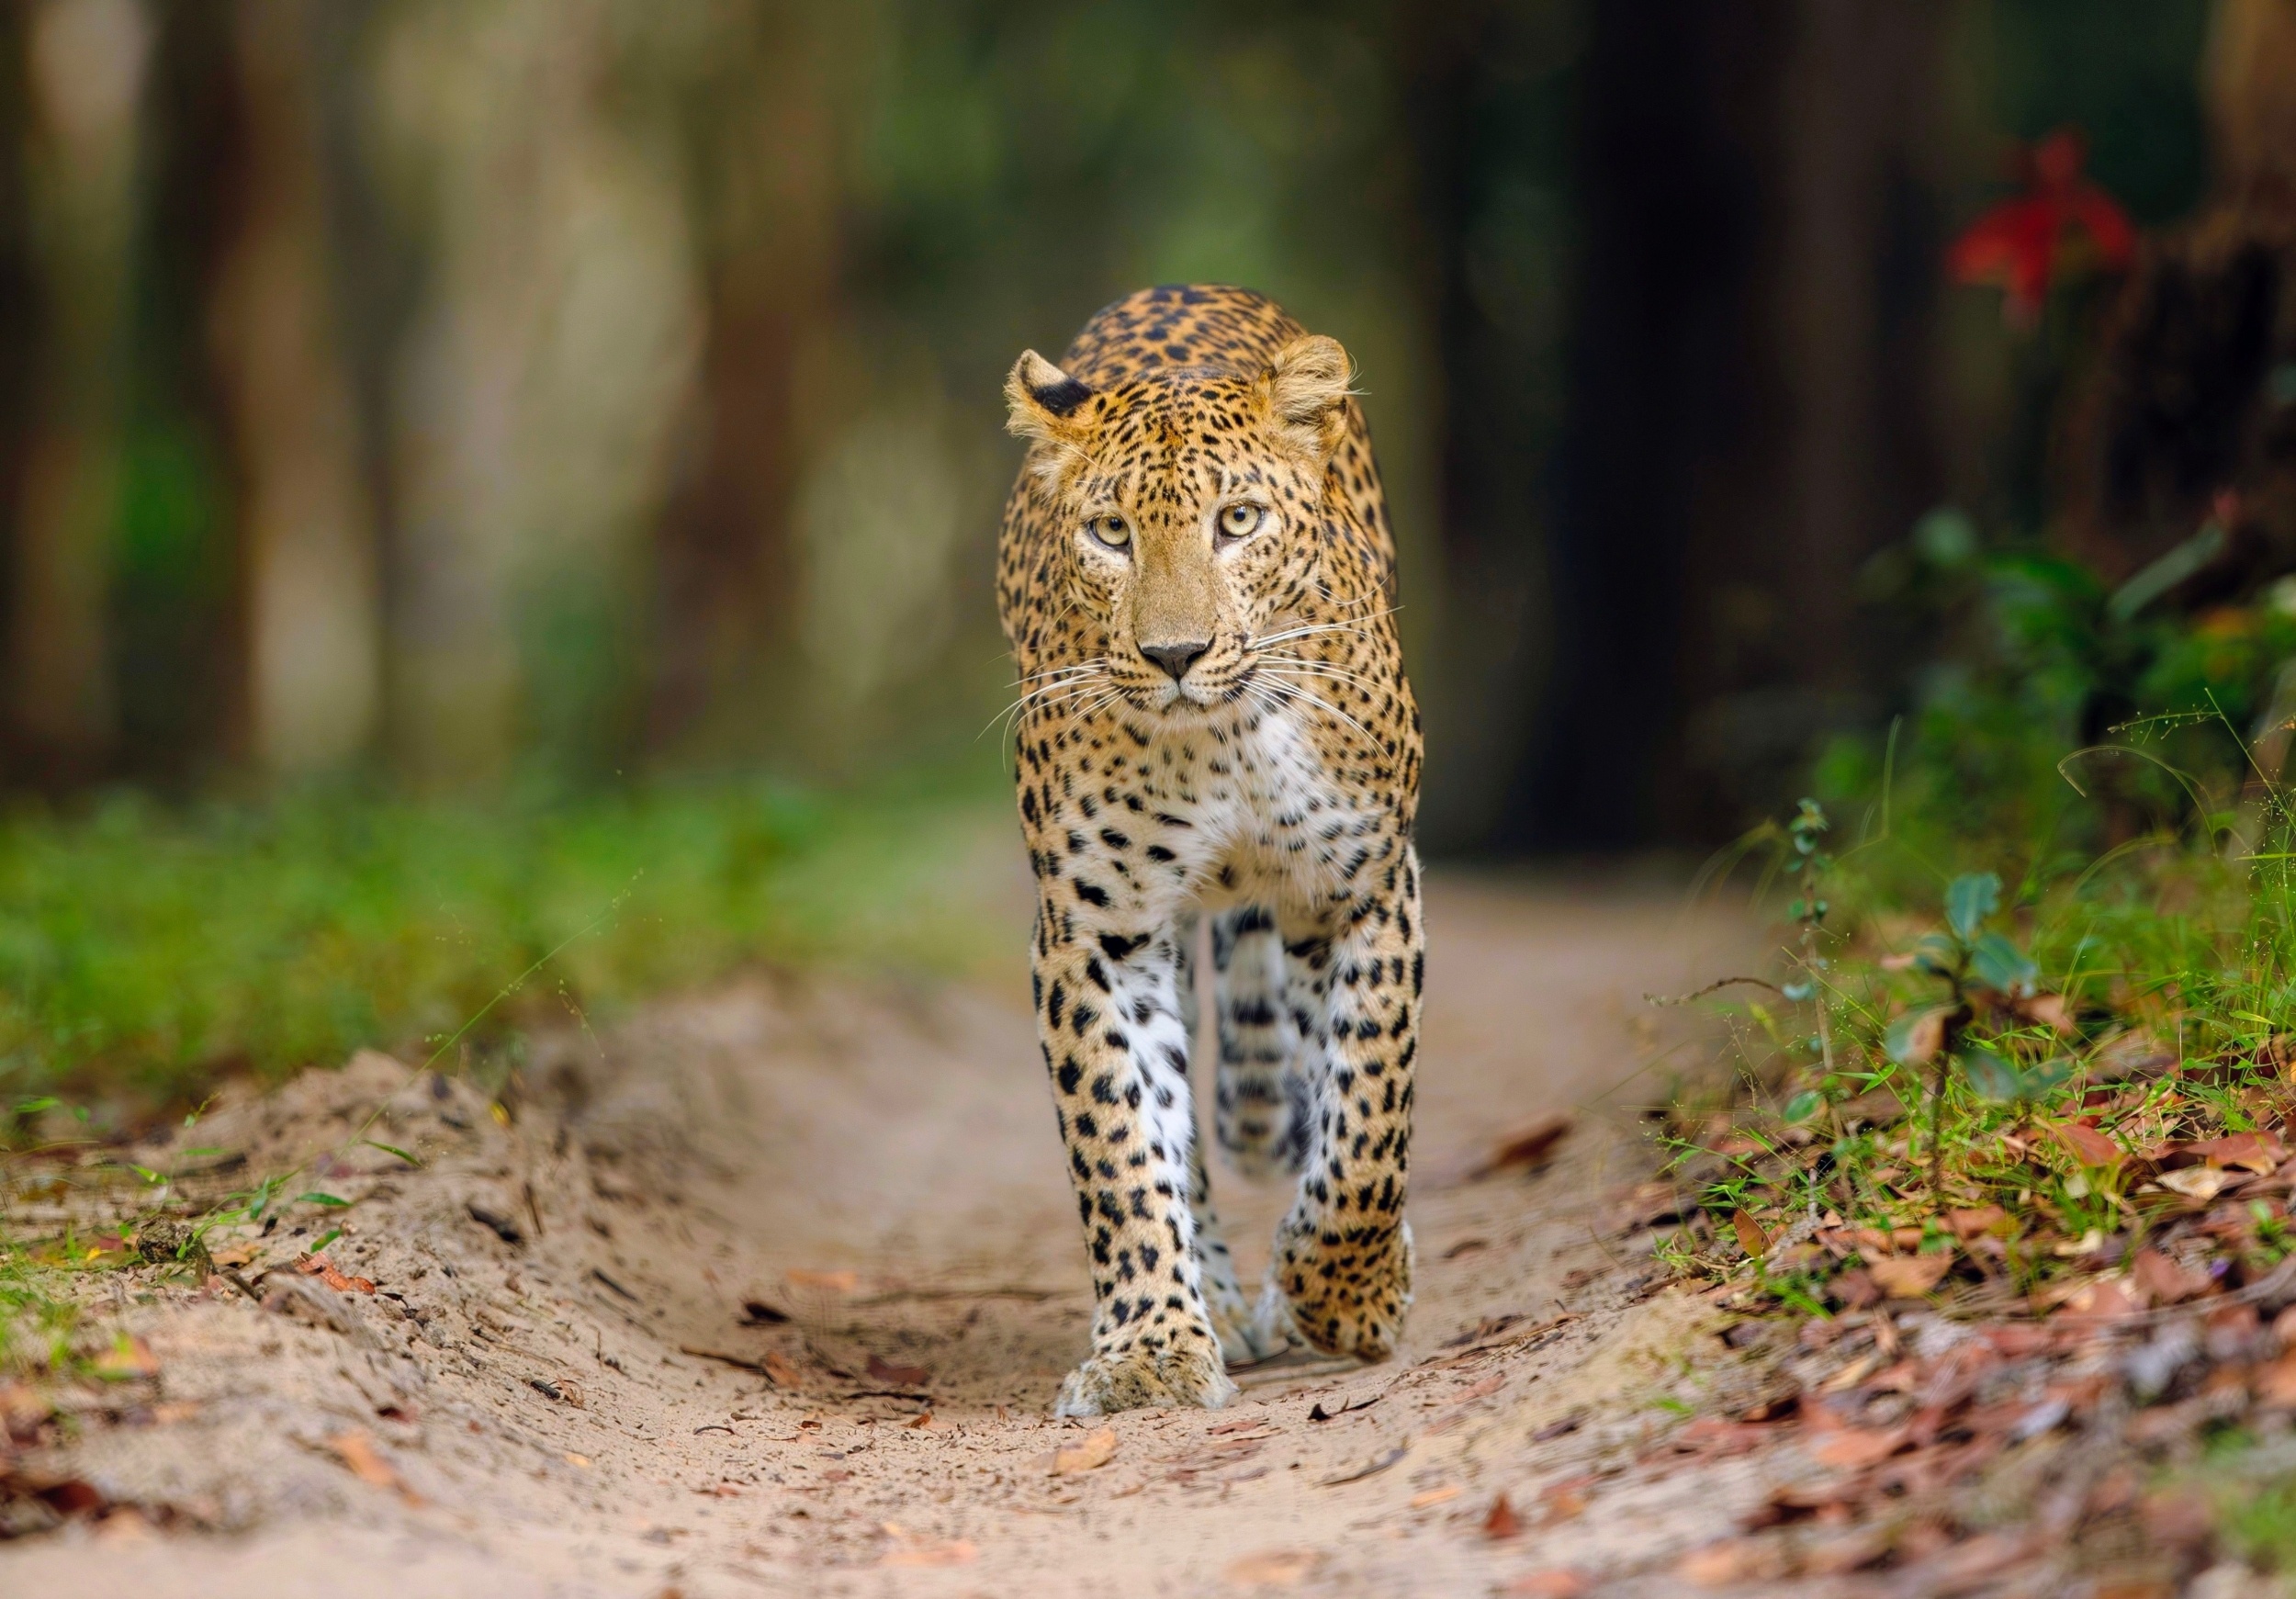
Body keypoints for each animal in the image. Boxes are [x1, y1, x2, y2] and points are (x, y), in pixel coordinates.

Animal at [995, 284, 1424, 1417]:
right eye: (1109, 533)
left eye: (1238, 522)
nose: (1174, 654)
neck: (1222, 737)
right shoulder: (1093, 929)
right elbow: (1121, 1142)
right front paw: (1150, 1347)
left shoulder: (1363, 885)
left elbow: (1369, 1109)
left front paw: (1347, 1293)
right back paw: (1218, 1300)